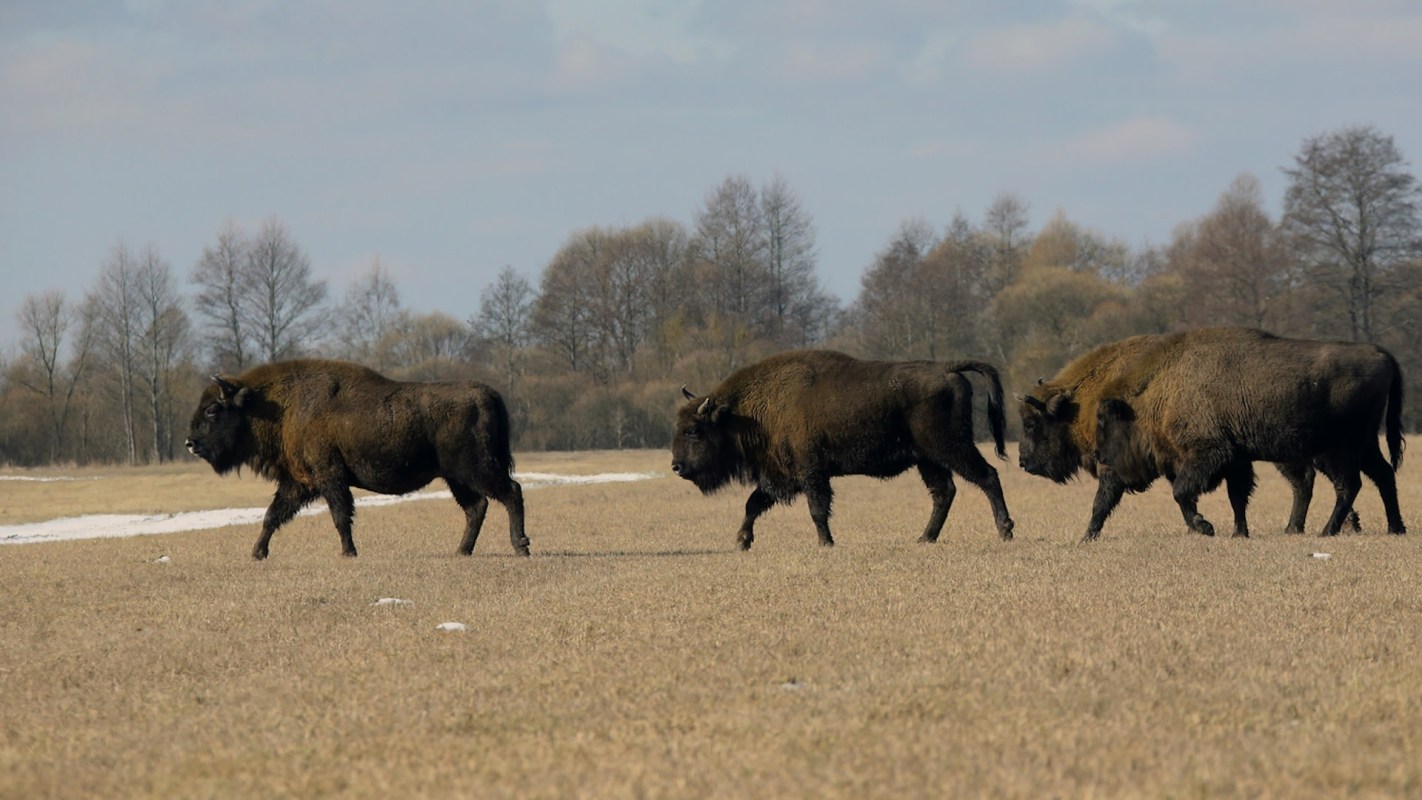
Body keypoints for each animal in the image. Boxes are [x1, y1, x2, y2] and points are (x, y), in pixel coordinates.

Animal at [183, 359, 528, 559]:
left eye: (213, 409)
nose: (190, 443)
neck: (278, 406)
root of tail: (487, 394)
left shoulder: (329, 477)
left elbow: (339, 515)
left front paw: (348, 552)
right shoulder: (299, 483)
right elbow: (272, 515)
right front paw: (257, 553)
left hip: (476, 469)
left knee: (511, 492)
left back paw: (521, 546)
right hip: (456, 477)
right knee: (476, 506)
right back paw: (461, 551)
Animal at [668, 350, 1012, 551]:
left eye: (694, 430)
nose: (676, 466)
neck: (746, 413)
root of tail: (947, 369)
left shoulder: (811, 473)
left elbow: (817, 508)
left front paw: (826, 543)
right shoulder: (781, 475)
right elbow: (753, 503)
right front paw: (742, 541)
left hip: (950, 446)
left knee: (987, 476)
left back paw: (1005, 530)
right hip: (928, 459)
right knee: (944, 492)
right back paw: (925, 538)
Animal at [1018, 326, 1404, 545]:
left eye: (1032, 424)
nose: (1023, 462)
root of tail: (1383, 355)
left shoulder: (1206, 455)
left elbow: (1178, 493)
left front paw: (1205, 527)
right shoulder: (1230, 459)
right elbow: (1234, 497)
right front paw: (1236, 532)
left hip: (1334, 449)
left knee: (1347, 485)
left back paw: (1328, 531)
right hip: (1361, 446)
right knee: (1380, 476)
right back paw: (1391, 528)